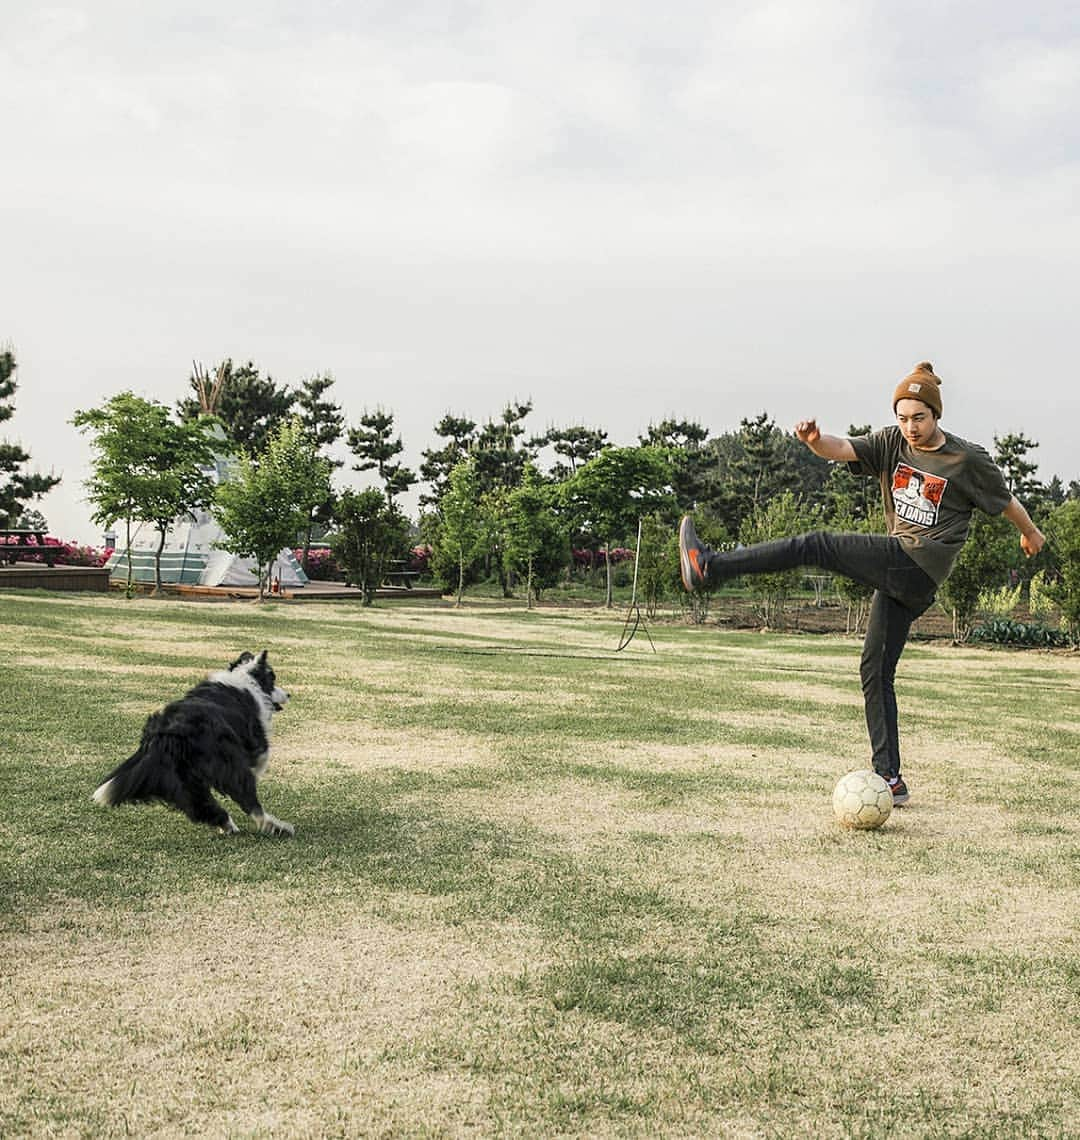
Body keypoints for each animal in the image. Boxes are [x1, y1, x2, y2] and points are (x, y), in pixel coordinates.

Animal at [92, 652, 294, 839]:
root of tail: (167, 732)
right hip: (225, 764)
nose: (289, 694)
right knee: (247, 798)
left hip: (182, 780)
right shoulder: (255, 738)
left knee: (200, 807)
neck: (247, 679)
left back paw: (229, 826)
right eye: (273, 679)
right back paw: (277, 827)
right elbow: (261, 755)